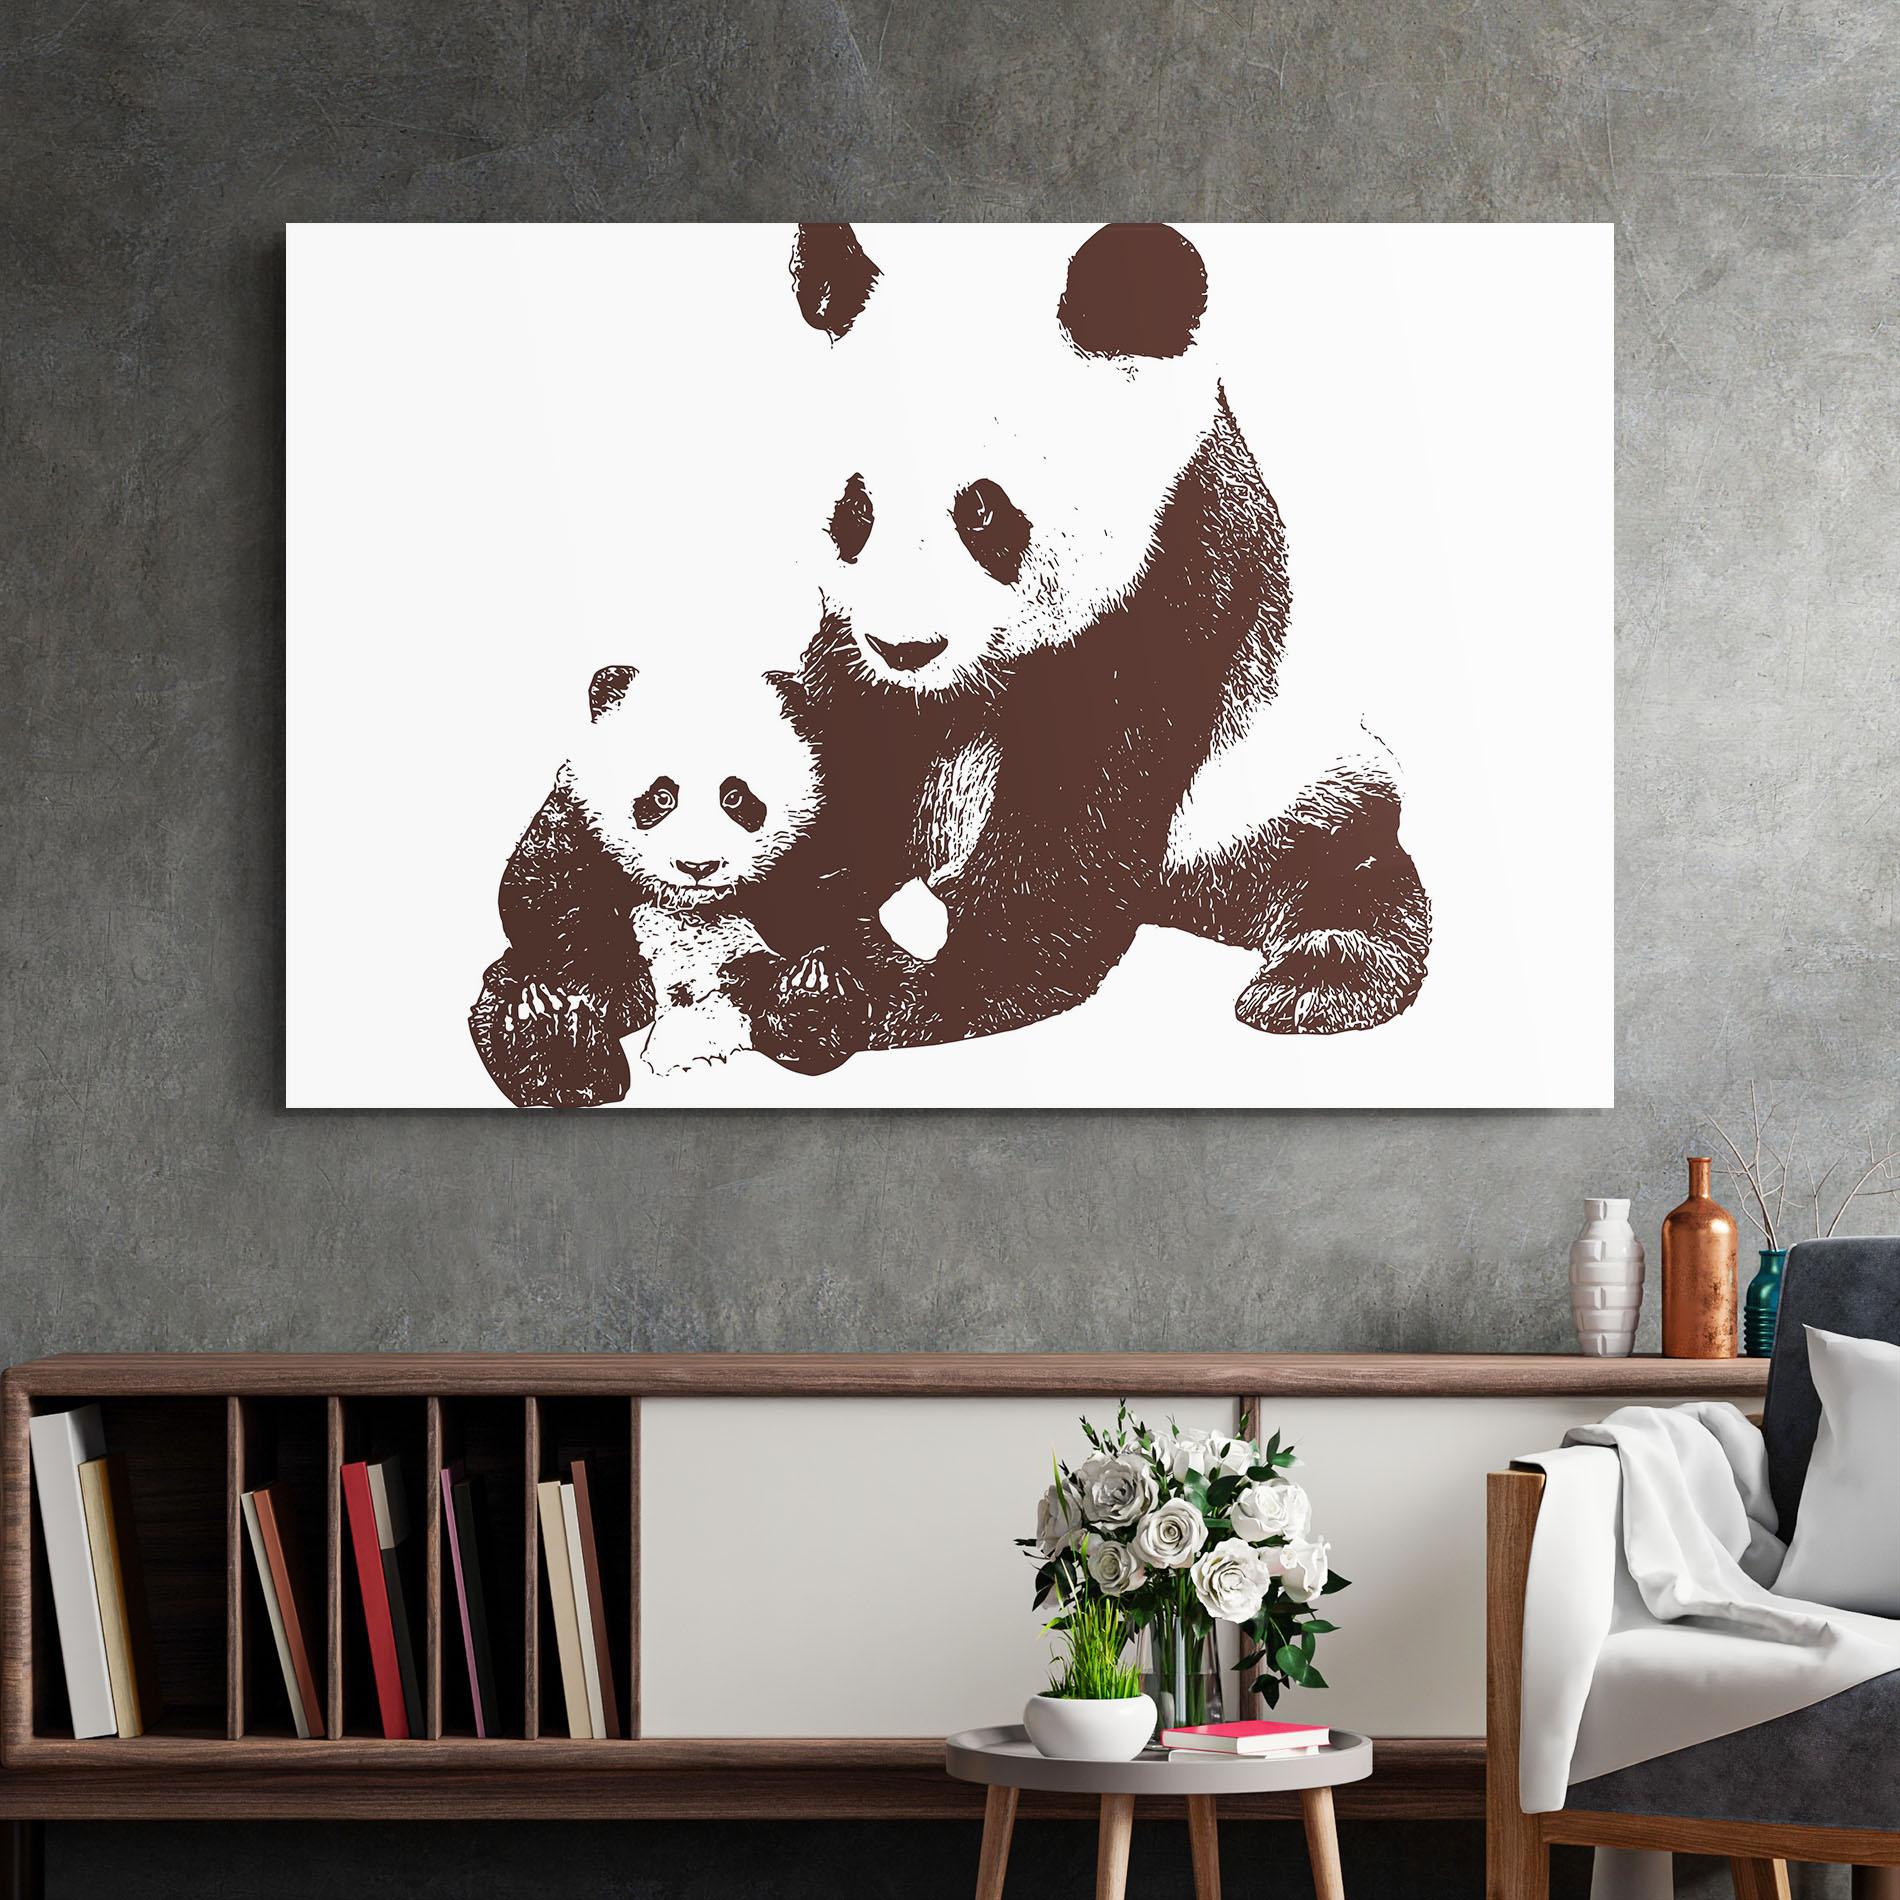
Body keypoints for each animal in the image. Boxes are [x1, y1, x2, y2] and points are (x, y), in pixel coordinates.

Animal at [468, 662, 871, 1105]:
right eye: (662, 797)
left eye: (734, 797)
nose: (697, 866)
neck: (689, 906)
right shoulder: (578, 822)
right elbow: (544, 891)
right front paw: (625, 995)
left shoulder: (809, 847)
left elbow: (829, 914)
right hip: (517, 976)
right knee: (504, 999)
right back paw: (554, 1035)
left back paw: (809, 996)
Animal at [776, 221, 1431, 1059]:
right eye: (855, 511)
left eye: (983, 512)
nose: (907, 649)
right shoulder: (851, 650)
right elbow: (846, 751)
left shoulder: (1175, 577)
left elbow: (1083, 806)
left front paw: (919, 989)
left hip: (1289, 791)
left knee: (1350, 879)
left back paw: (1312, 985)